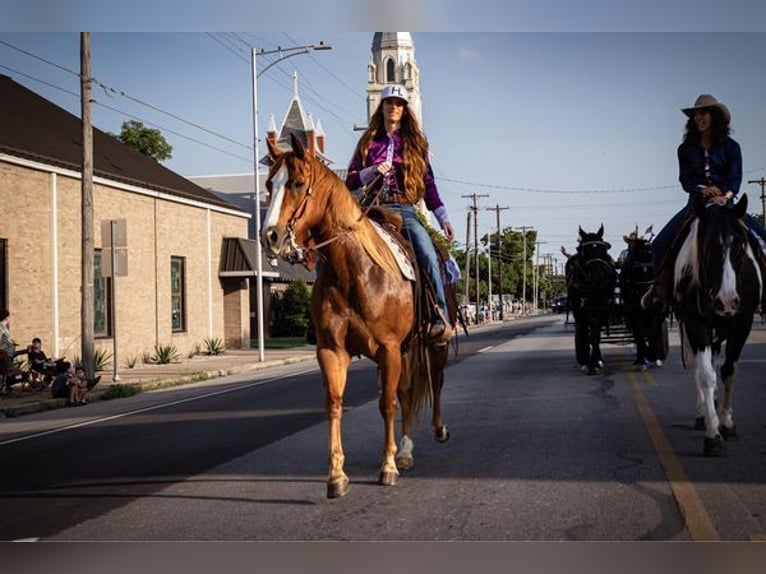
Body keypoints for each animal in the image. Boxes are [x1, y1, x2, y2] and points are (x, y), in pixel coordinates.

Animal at [260, 135, 452, 500]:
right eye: (268, 185)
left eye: (297, 182)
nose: (270, 236)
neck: (353, 270)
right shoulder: (332, 350)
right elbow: (335, 404)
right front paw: (336, 475)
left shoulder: (388, 348)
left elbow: (387, 404)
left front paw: (387, 467)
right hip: (406, 349)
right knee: (408, 392)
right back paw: (406, 450)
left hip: (433, 343)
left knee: (435, 380)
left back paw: (437, 430)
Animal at [568, 225, 620, 378]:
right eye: (585, 250)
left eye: (603, 249)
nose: (598, 275)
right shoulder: (579, 309)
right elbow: (584, 333)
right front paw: (586, 361)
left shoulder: (601, 308)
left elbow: (595, 335)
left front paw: (595, 363)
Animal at [676, 196, 764, 456]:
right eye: (707, 245)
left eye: (741, 246)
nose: (726, 301)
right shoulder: (695, 323)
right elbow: (706, 375)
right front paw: (712, 434)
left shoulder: (743, 322)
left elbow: (728, 371)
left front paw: (726, 423)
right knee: (697, 366)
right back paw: (702, 414)